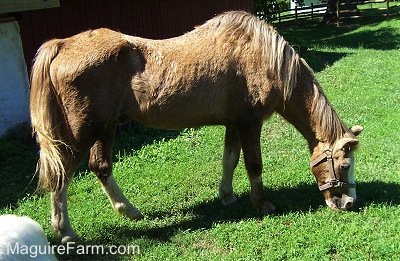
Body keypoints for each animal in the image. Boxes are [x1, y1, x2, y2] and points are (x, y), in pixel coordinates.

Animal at [29, 10, 362, 242]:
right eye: (345, 165)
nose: (347, 203)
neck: (264, 57)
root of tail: (62, 45)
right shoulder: (249, 123)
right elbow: (253, 165)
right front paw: (263, 204)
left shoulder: (234, 123)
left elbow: (230, 160)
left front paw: (227, 196)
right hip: (81, 133)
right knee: (61, 176)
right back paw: (66, 231)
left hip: (106, 126)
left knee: (101, 167)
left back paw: (130, 212)